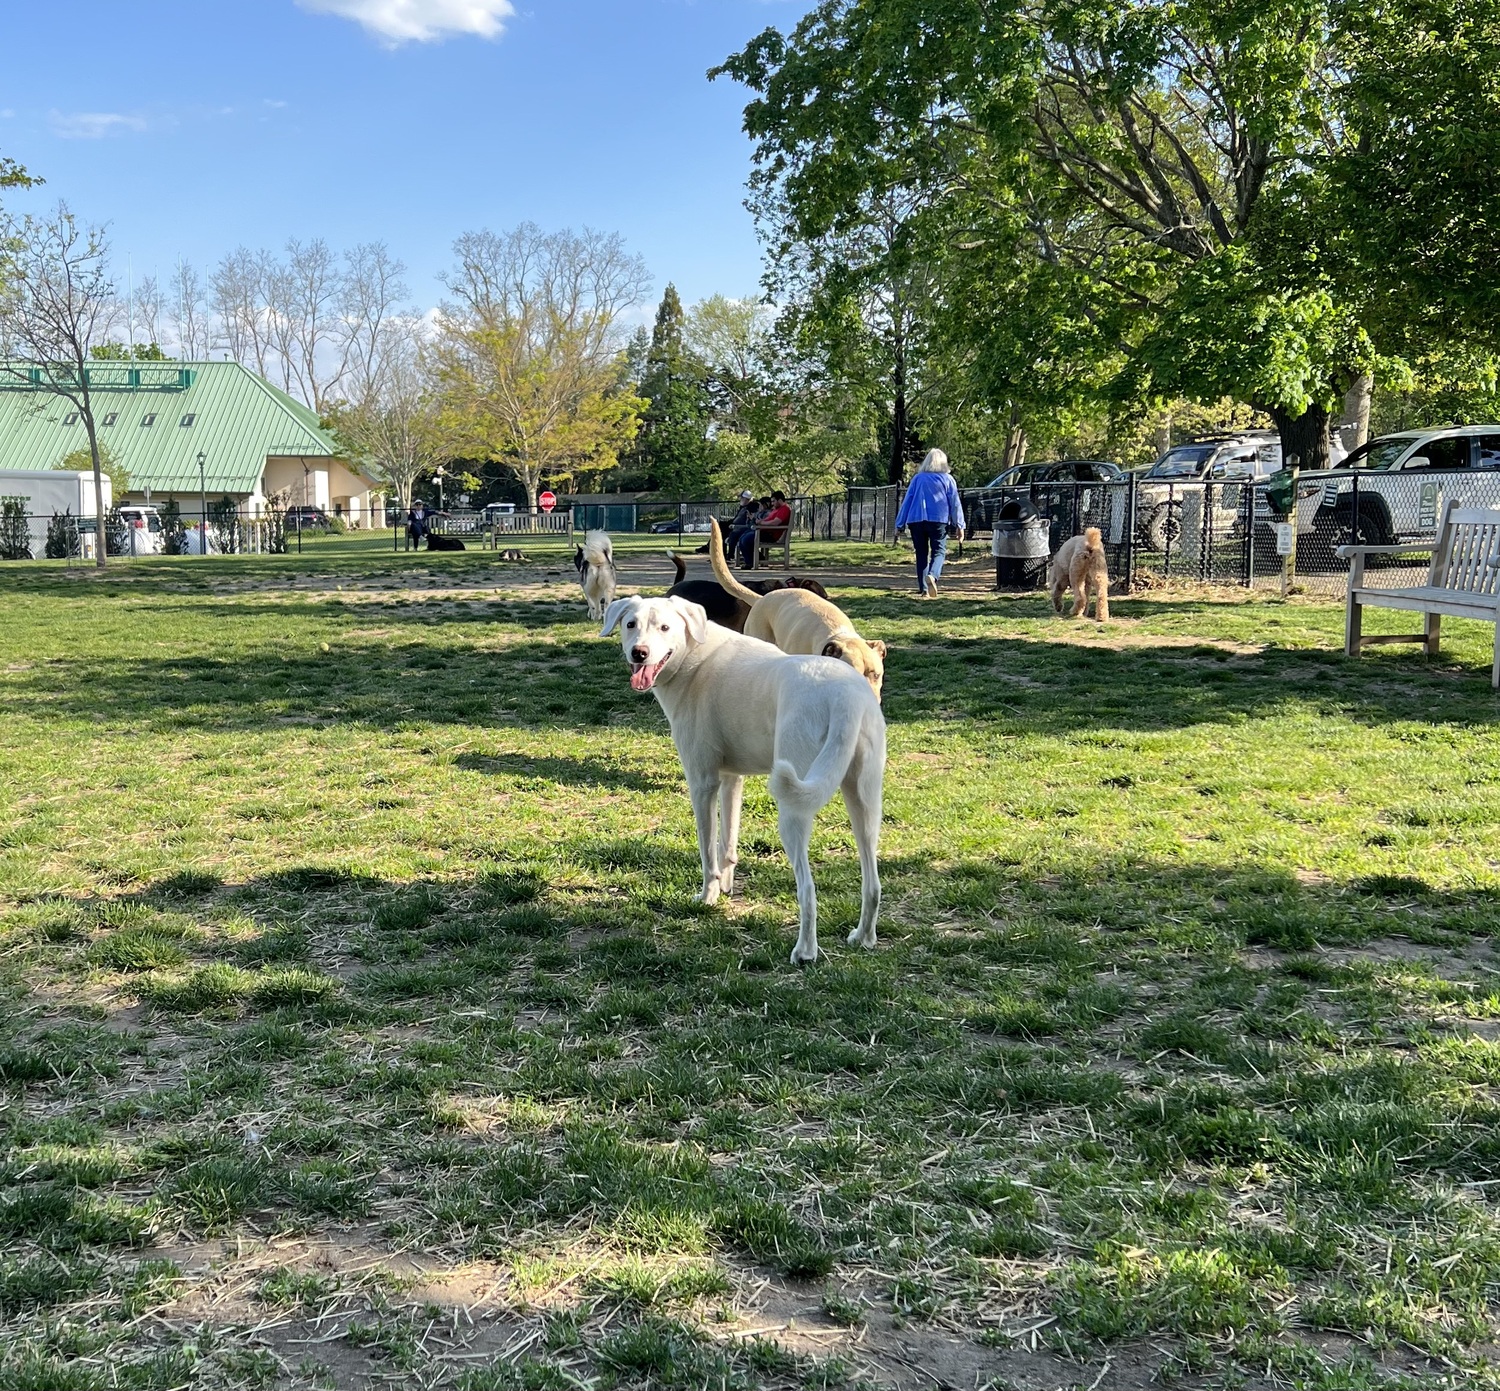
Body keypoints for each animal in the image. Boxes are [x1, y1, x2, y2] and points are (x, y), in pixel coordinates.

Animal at [600, 594, 882, 960]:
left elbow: (707, 850)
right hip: (863, 804)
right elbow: (728, 842)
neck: (693, 657)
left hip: (793, 809)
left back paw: (805, 952)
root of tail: (846, 698)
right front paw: (726, 886)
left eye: (664, 627)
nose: (640, 653)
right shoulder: (732, 780)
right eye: (631, 624)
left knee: (807, 889)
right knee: (873, 884)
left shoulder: (703, 783)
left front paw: (708, 896)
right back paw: (864, 938)